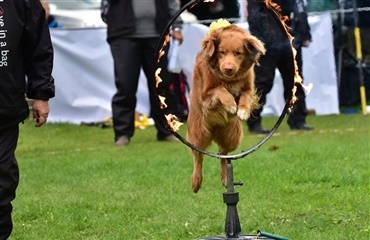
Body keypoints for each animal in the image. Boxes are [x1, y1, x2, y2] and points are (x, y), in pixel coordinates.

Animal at [186, 24, 264, 193]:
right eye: (221, 52)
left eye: (238, 53)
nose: (228, 68)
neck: (228, 79)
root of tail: (215, 130)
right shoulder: (206, 95)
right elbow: (221, 90)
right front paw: (230, 105)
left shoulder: (248, 88)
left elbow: (245, 96)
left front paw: (242, 110)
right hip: (199, 132)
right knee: (198, 156)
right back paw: (196, 182)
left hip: (232, 135)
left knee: (223, 154)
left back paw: (225, 179)